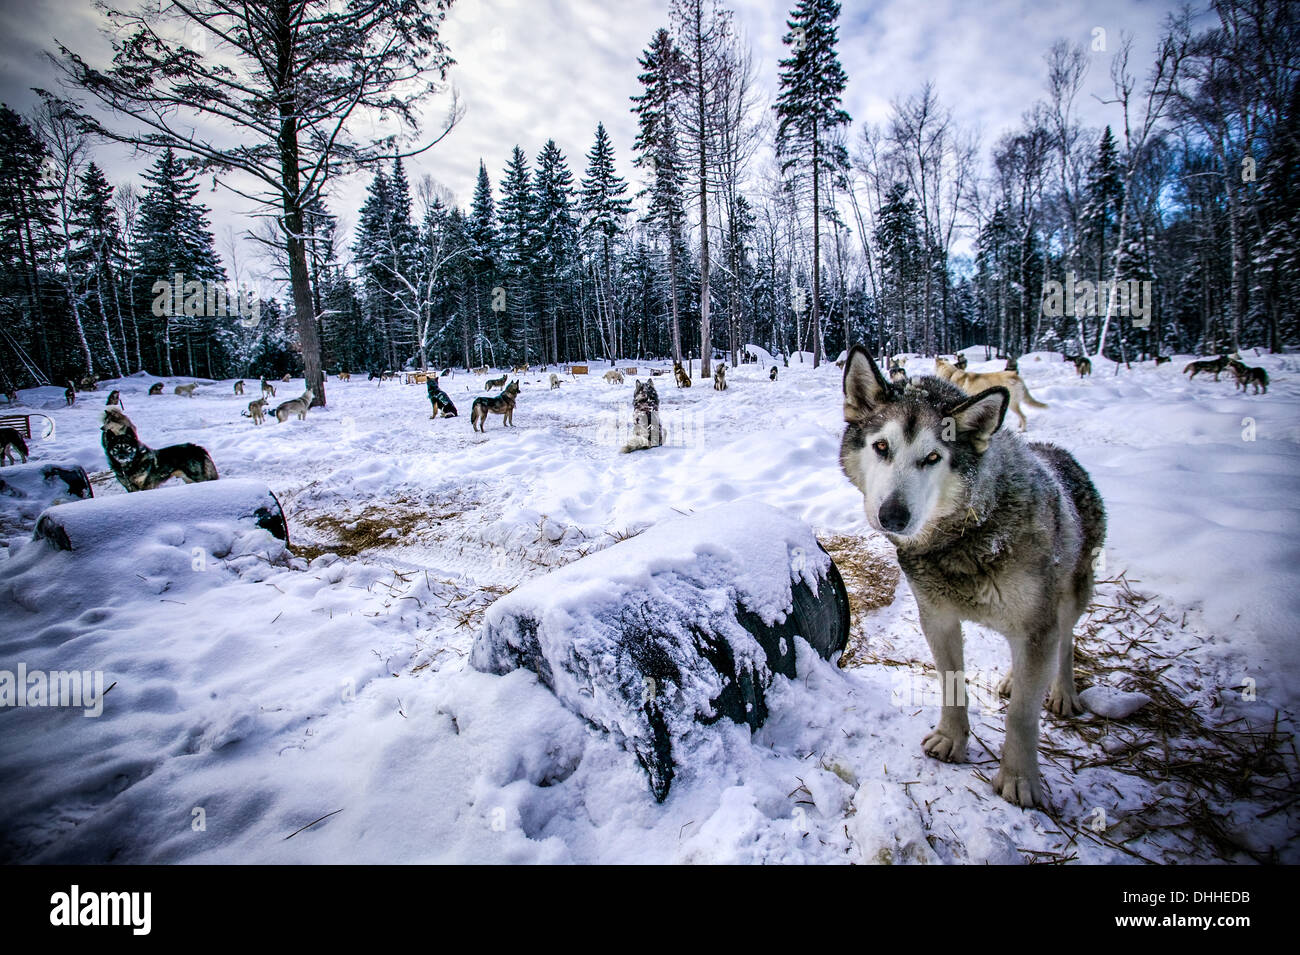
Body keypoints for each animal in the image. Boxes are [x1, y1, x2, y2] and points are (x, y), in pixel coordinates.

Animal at [842, 348, 1107, 810]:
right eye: (881, 447)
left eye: (933, 458)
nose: (892, 515)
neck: (969, 534)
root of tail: (1059, 452)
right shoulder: (937, 618)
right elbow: (952, 685)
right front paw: (952, 739)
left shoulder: (1037, 626)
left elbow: (1023, 715)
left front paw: (1019, 779)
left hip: (1071, 596)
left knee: (1066, 639)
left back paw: (1063, 691)